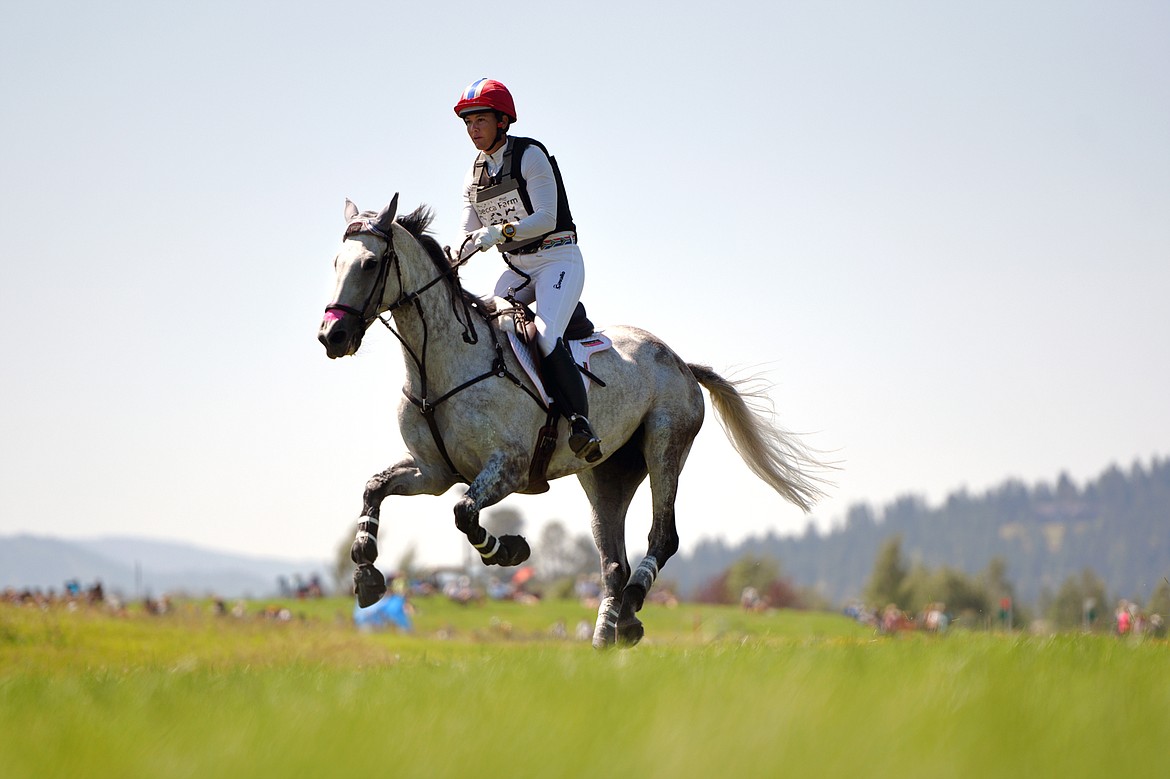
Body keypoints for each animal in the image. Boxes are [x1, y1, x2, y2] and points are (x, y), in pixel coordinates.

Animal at [318, 197, 833, 645]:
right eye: (336, 263)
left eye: (369, 264)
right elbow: (375, 487)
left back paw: (633, 602)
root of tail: (681, 362)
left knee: (662, 537)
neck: (437, 365)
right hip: (605, 475)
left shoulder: (507, 468)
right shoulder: (433, 472)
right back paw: (614, 630)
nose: (331, 335)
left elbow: (465, 513)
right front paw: (366, 570)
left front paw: (509, 550)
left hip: (665, 444)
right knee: (612, 561)